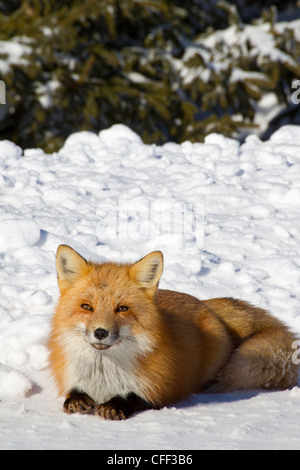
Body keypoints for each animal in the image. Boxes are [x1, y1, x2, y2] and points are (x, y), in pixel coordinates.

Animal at [48, 246, 298, 418]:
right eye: (86, 307)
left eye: (122, 308)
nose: (100, 332)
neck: (103, 375)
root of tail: (205, 303)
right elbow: (72, 394)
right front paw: (76, 400)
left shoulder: (162, 389)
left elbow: (137, 398)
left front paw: (116, 405)